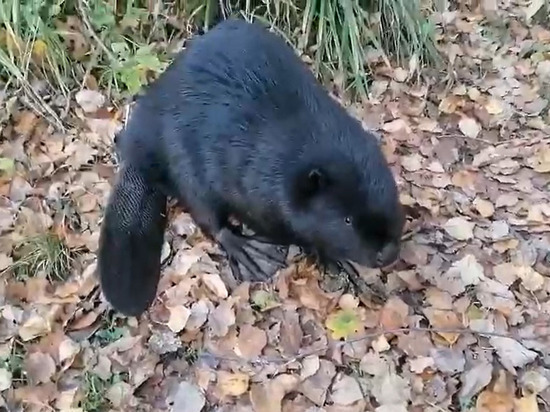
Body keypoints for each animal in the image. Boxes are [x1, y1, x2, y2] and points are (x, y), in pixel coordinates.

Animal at [98, 17, 406, 318]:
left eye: (391, 195)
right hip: (180, 155)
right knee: (206, 211)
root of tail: (137, 144)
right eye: (347, 220)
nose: (389, 253)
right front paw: (333, 257)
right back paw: (250, 251)